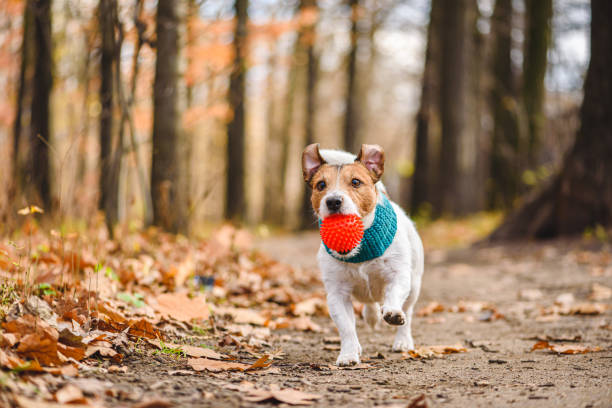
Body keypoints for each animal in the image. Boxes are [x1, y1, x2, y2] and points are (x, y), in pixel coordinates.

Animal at [302, 143, 426, 366]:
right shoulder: (337, 294)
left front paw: (392, 313)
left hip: (414, 285)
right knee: (369, 304)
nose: (333, 201)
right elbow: (346, 327)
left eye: (356, 182)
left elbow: (394, 295)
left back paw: (403, 340)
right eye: (321, 185)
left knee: (408, 312)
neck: (360, 249)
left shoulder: (398, 276)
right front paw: (349, 353)